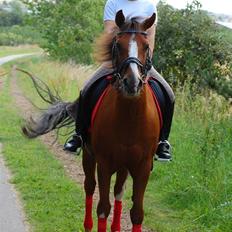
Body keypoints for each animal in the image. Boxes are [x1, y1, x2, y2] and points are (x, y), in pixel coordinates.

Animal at [22, 10, 160, 232]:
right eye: (117, 45)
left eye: (146, 46)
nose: (132, 83)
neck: (130, 119)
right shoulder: (104, 163)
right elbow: (102, 207)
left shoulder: (143, 167)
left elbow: (137, 214)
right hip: (89, 156)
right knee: (89, 187)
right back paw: (87, 225)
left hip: (124, 166)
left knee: (119, 191)